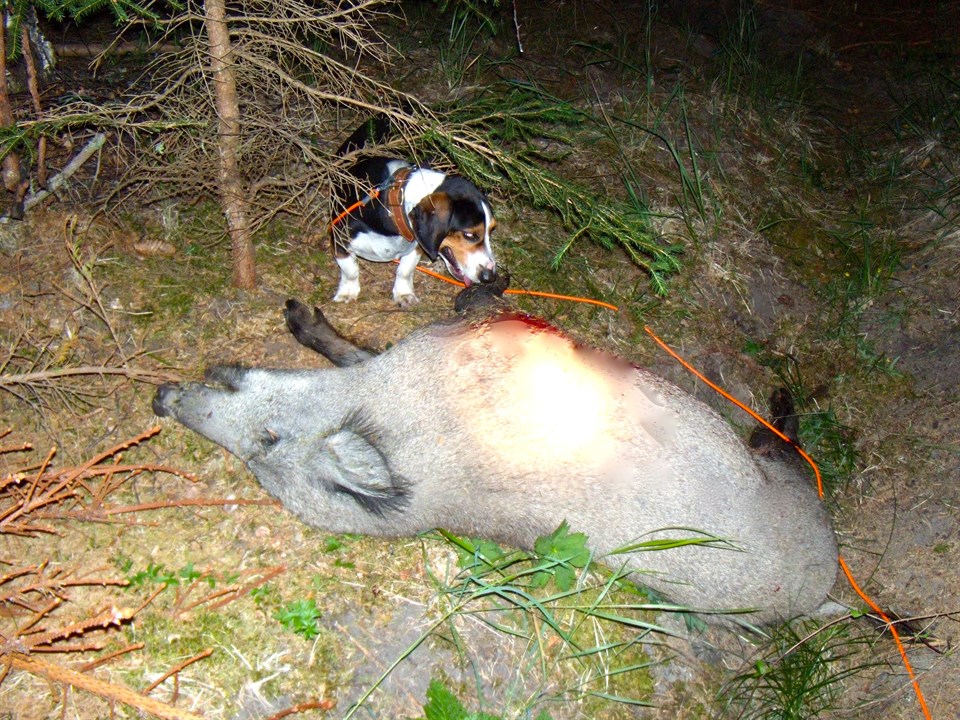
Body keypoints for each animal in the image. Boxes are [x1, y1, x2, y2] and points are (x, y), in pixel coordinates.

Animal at [330, 117, 498, 307]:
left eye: (491, 230)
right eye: (469, 235)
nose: (490, 277)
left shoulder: (417, 245)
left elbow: (405, 269)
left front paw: (404, 294)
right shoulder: (339, 238)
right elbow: (350, 269)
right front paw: (347, 292)